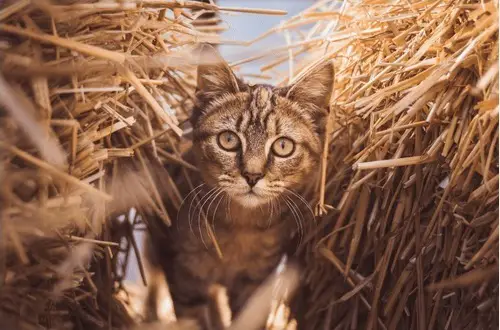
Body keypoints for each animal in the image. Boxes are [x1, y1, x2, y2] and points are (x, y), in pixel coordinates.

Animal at [144, 46, 332, 330]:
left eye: (283, 146)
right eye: (228, 140)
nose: (252, 175)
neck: (239, 227)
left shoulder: (255, 282)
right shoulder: (184, 276)